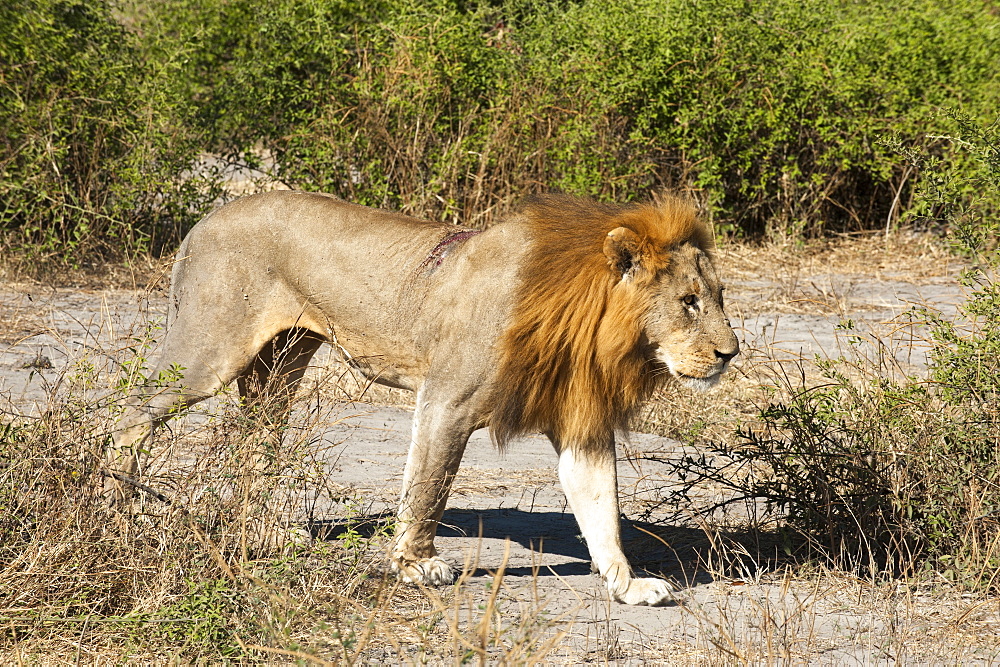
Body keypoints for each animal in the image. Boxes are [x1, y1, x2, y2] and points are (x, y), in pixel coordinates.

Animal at [105, 189, 740, 604]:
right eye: (688, 302)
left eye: (718, 295)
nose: (730, 353)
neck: (591, 324)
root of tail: (206, 218)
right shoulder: (446, 399)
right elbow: (429, 486)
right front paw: (416, 567)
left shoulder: (579, 420)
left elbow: (601, 507)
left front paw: (628, 586)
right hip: (206, 352)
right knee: (124, 416)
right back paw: (120, 505)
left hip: (280, 365)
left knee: (254, 441)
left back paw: (266, 533)